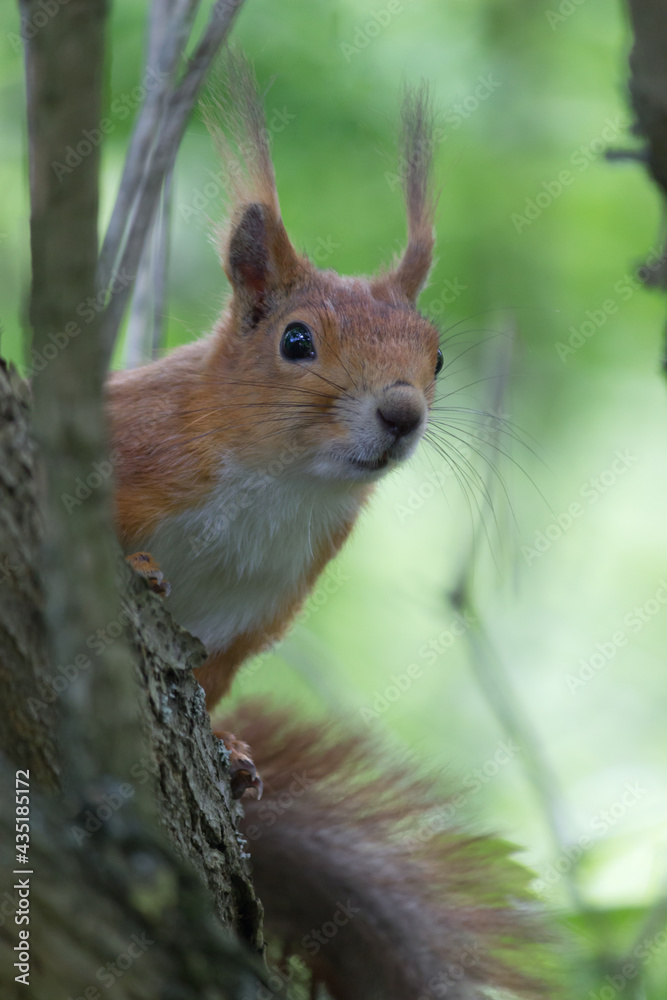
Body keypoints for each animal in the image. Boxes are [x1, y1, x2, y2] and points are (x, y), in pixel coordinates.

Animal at [107, 54, 552, 999]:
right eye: (296, 340)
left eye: (436, 355)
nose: (401, 413)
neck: (278, 488)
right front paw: (144, 568)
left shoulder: (249, 614)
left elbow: (212, 685)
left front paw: (232, 757)